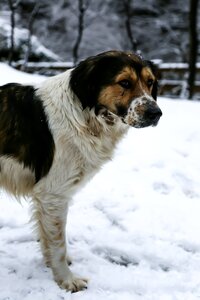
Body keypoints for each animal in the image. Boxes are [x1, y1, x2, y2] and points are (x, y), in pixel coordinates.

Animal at [0, 51, 162, 292]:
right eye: (124, 82)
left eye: (150, 82)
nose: (156, 113)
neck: (85, 117)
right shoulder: (53, 194)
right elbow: (58, 244)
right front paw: (67, 280)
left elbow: (48, 238)